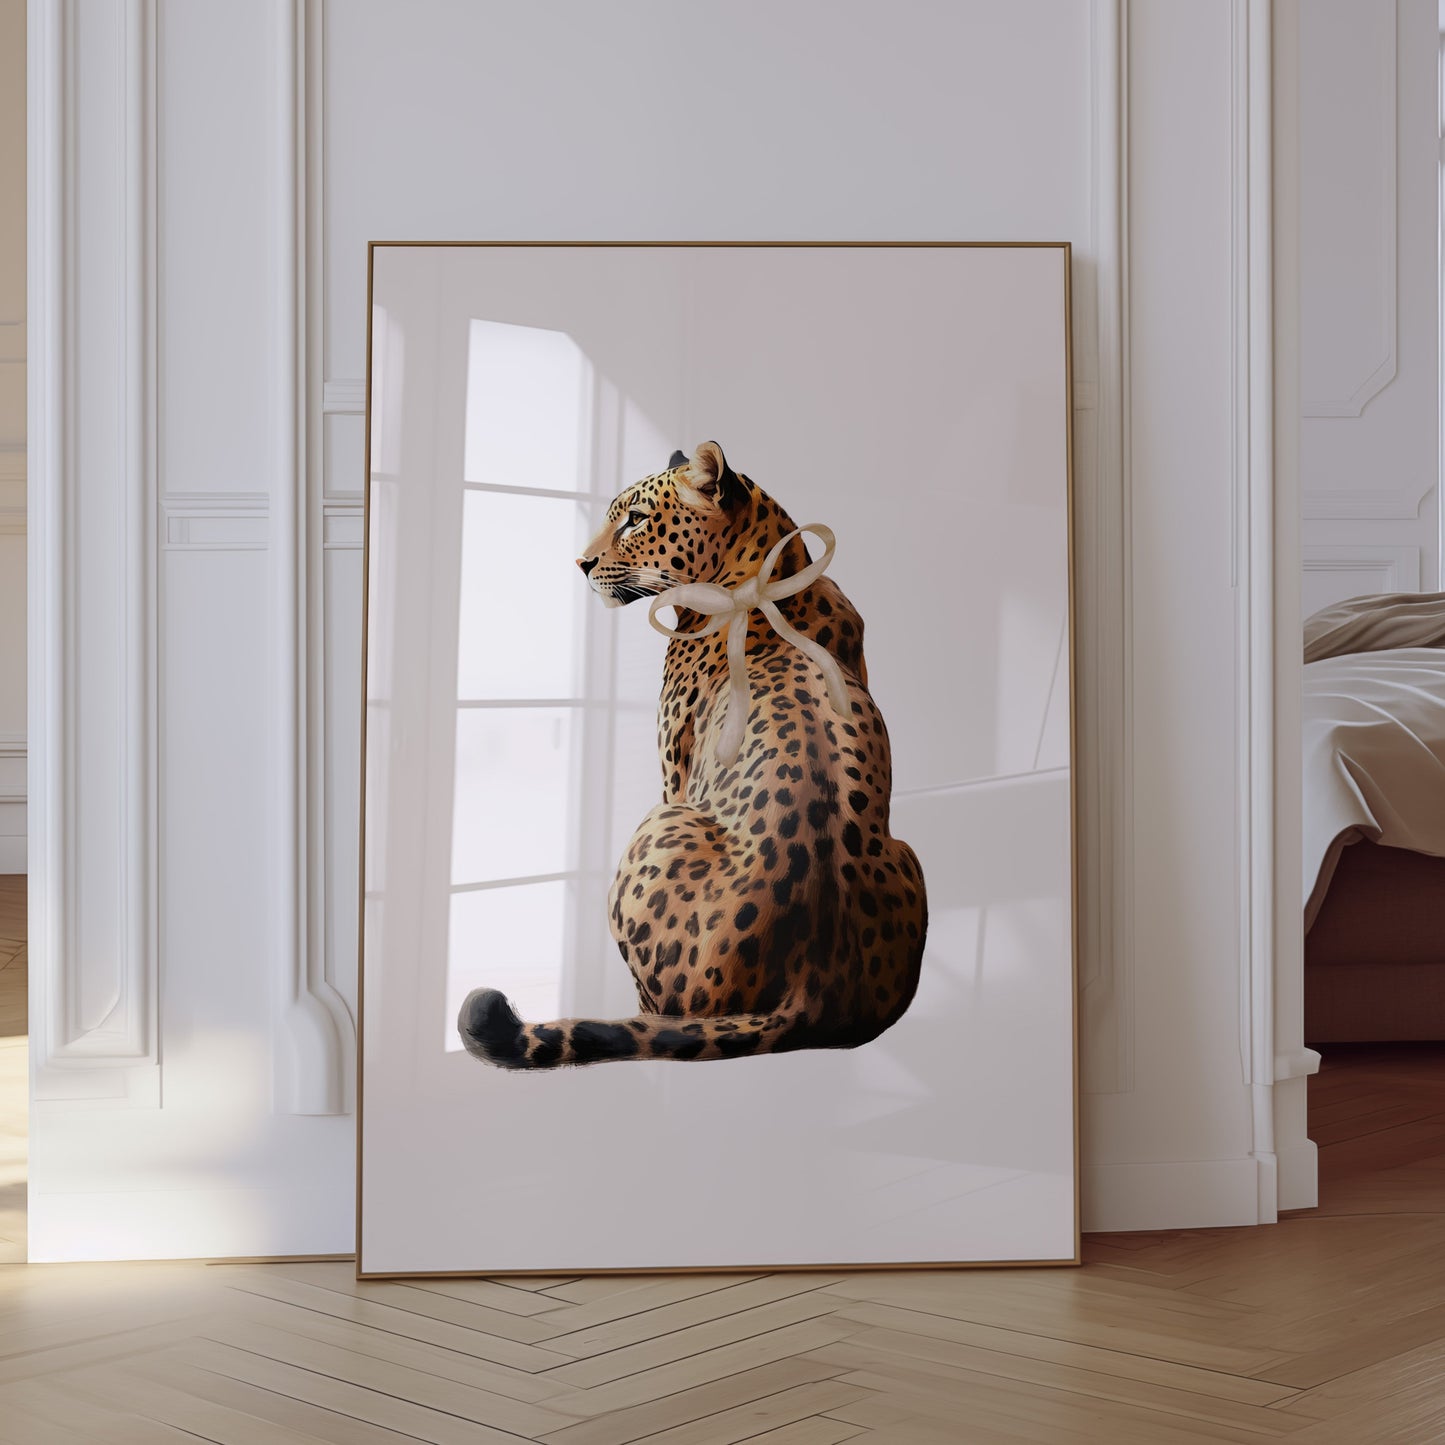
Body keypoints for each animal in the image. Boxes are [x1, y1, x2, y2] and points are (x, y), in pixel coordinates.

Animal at [457, 442, 927, 1067]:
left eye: (634, 519)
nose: (580, 563)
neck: (770, 580)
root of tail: (813, 988)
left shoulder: (673, 767)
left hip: (659, 823)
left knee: (662, 1011)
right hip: (908, 856)